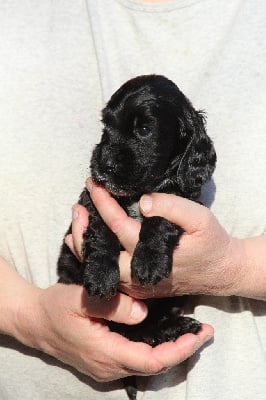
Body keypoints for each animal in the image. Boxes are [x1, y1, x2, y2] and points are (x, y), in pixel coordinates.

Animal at [57, 75, 216, 400]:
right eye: (105, 126)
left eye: (144, 130)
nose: (102, 163)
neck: (138, 192)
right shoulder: (95, 197)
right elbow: (102, 230)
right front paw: (101, 274)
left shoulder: (181, 199)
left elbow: (158, 221)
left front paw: (149, 261)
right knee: (130, 332)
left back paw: (176, 327)